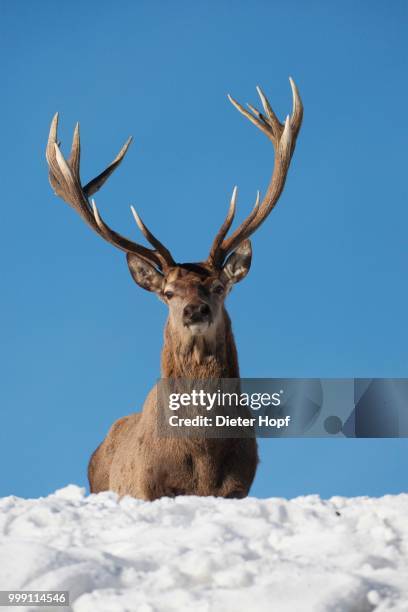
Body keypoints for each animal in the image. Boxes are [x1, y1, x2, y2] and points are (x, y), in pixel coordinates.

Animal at [47, 79, 302, 500]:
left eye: (218, 286)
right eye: (168, 292)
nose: (194, 310)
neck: (202, 462)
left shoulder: (238, 487)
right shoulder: (147, 487)